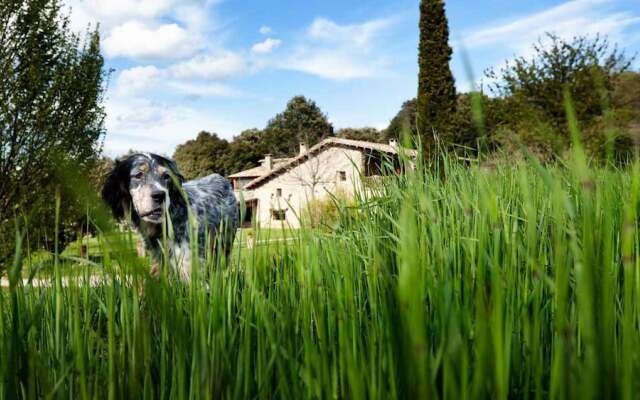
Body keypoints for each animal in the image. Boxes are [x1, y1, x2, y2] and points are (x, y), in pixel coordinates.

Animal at [102, 153, 238, 282]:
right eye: (138, 175)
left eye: (166, 176)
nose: (159, 195)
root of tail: (220, 178)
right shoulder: (158, 260)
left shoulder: (190, 265)